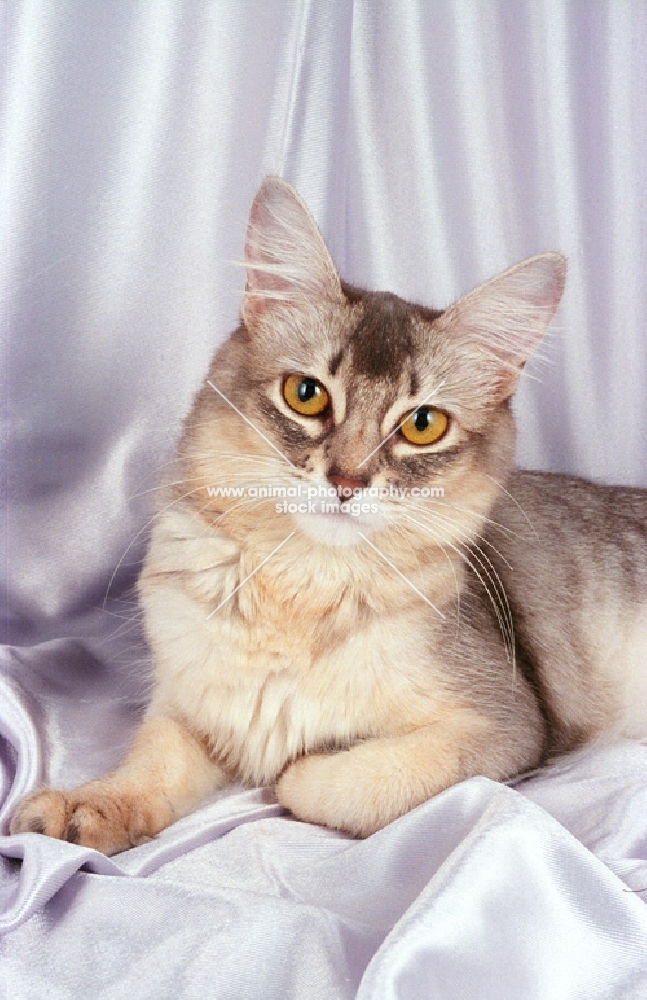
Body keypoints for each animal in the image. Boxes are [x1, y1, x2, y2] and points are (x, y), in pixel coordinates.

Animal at [11, 176, 647, 856]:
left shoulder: (505, 725)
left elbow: (348, 782)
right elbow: (150, 764)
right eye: (306, 394)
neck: (300, 587)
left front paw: (301, 765)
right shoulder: (190, 703)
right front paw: (87, 807)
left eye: (423, 425)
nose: (346, 481)